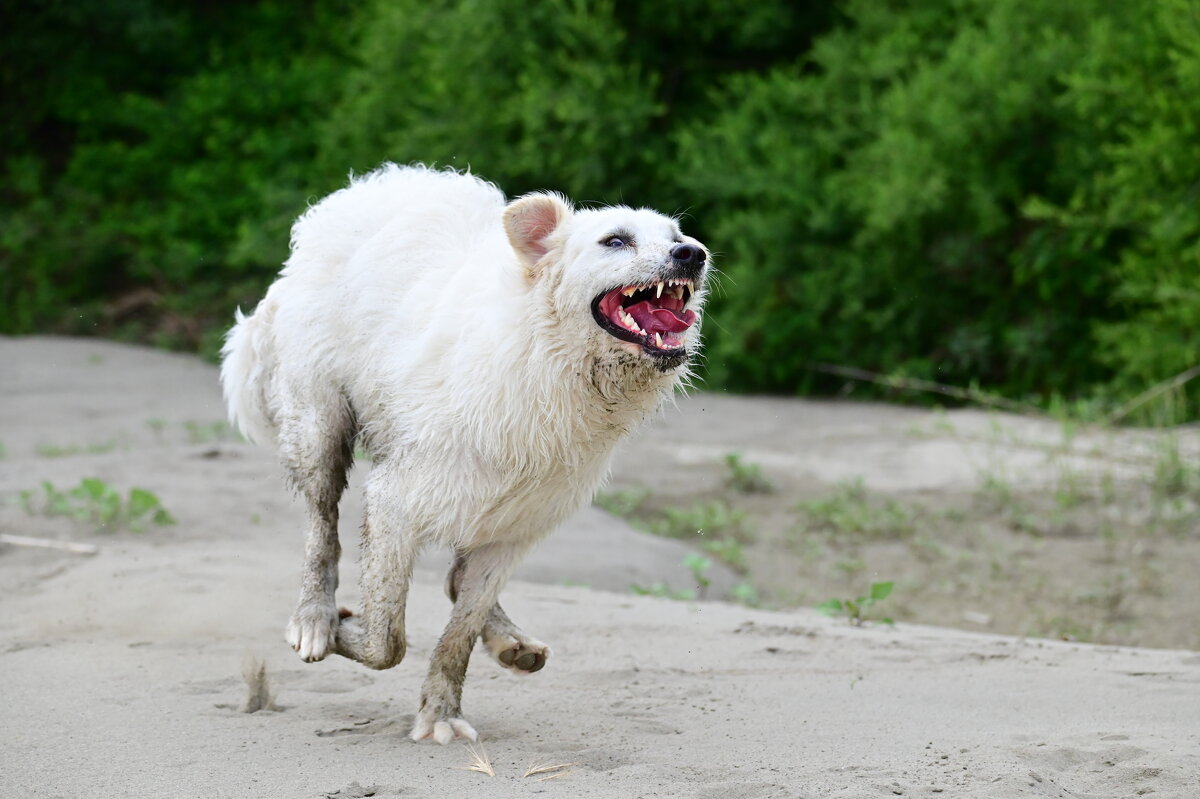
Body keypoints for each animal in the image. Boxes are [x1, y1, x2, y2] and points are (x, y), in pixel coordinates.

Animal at [220, 164, 705, 743]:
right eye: (615, 241)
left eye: (676, 236)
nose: (694, 254)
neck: (544, 359)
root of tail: (356, 192)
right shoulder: (393, 502)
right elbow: (387, 640)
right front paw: (341, 628)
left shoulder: (514, 531)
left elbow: (457, 635)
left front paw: (440, 713)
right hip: (319, 430)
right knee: (321, 530)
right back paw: (314, 616)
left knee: (454, 580)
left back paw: (510, 641)